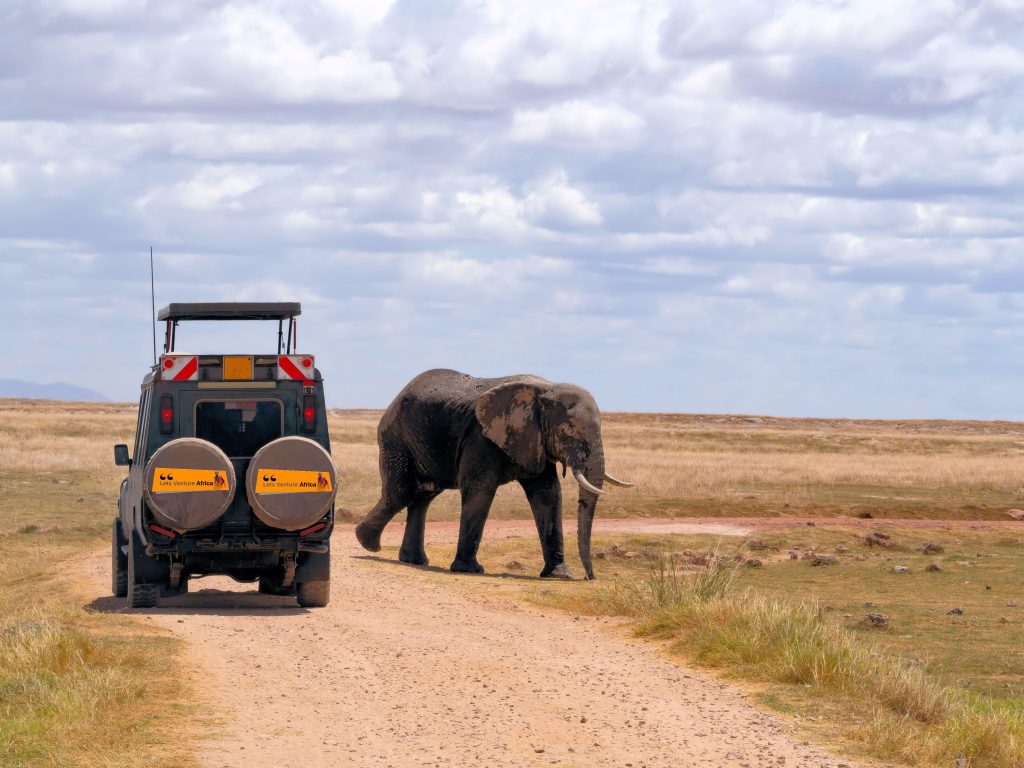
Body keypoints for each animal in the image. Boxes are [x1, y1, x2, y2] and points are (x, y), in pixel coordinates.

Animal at [356, 370, 634, 581]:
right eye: (569, 428)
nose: (590, 577)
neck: (545, 389)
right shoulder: (482, 437)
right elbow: (480, 489)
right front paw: (469, 571)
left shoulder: (534, 440)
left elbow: (547, 495)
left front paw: (559, 575)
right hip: (396, 439)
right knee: (402, 493)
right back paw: (367, 543)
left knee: (423, 496)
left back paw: (413, 560)